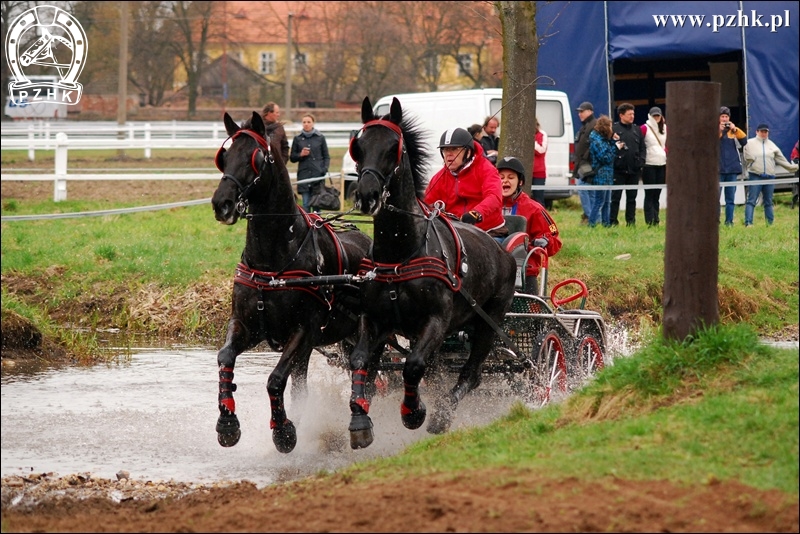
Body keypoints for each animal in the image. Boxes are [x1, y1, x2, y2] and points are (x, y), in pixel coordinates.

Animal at [212, 112, 376, 456]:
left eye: (256, 157)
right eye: (225, 155)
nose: (222, 203)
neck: (273, 260)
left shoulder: (302, 331)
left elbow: (275, 379)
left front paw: (284, 431)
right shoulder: (246, 325)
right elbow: (225, 359)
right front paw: (227, 423)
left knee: (366, 368)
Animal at [346, 96, 516, 448]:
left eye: (393, 147)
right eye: (359, 145)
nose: (367, 195)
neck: (401, 252)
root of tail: (504, 253)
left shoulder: (435, 321)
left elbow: (412, 366)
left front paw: (414, 412)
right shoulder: (375, 319)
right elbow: (361, 361)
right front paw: (359, 419)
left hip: (489, 323)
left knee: (471, 373)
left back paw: (442, 414)